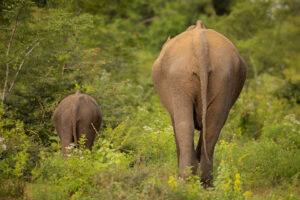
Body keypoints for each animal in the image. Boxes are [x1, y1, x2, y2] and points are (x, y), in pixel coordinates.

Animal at [152, 19, 246, 186]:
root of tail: (200, 44)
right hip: (223, 76)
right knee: (213, 124)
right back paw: (205, 181)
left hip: (178, 78)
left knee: (184, 125)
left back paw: (184, 179)